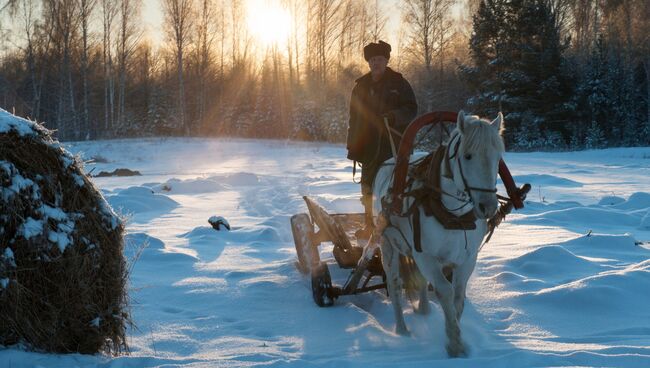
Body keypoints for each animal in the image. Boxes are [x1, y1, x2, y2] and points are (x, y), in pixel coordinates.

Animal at [370, 110, 502, 356]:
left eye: (498, 157)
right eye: (468, 156)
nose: (488, 207)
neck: (453, 215)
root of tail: (389, 160)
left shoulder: (467, 259)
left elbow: (458, 296)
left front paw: (455, 334)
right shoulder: (427, 256)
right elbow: (445, 292)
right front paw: (454, 343)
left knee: (419, 280)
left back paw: (423, 309)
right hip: (387, 244)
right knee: (394, 284)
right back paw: (401, 329)